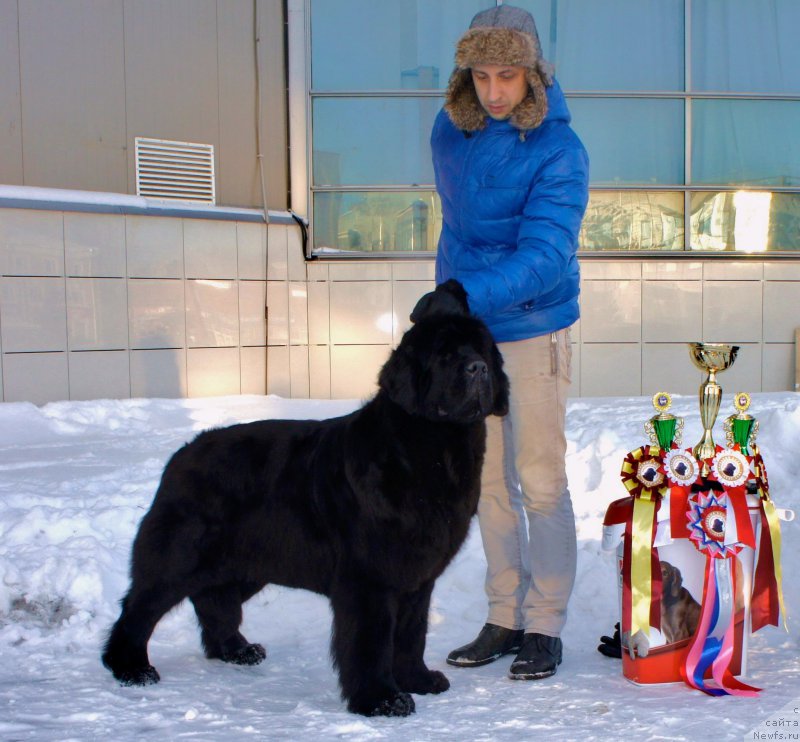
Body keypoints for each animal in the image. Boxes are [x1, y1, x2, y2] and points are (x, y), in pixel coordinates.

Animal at [103, 280, 510, 716]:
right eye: (445, 355)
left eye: (481, 350)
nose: (478, 369)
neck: (432, 448)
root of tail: (182, 454)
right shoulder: (369, 578)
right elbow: (371, 642)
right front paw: (380, 699)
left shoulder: (417, 577)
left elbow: (411, 634)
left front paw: (418, 680)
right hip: (182, 554)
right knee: (140, 607)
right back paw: (130, 667)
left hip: (247, 560)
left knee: (213, 598)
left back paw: (235, 649)